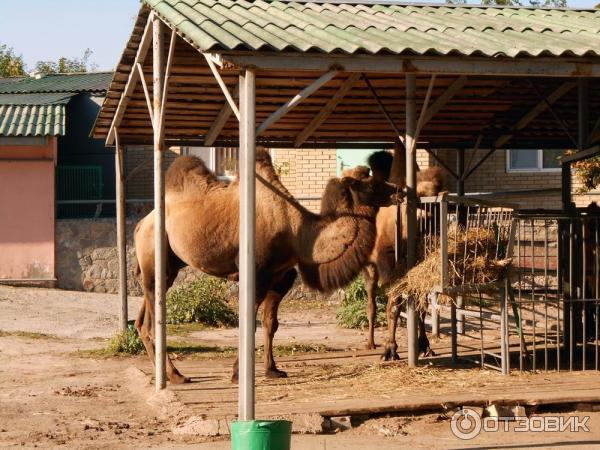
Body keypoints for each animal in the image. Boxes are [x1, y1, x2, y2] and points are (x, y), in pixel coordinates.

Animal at [135, 150, 398, 384]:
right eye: (371, 183)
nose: (398, 191)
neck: (297, 233)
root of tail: (140, 224)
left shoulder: (280, 277)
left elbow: (271, 324)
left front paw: (273, 370)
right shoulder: (257, 274)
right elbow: (250, 324)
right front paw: (238, 374)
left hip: (168, 267)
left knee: (143, 320)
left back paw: (163, 372)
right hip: (153, 255)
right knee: (154, 322)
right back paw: (175, 375)